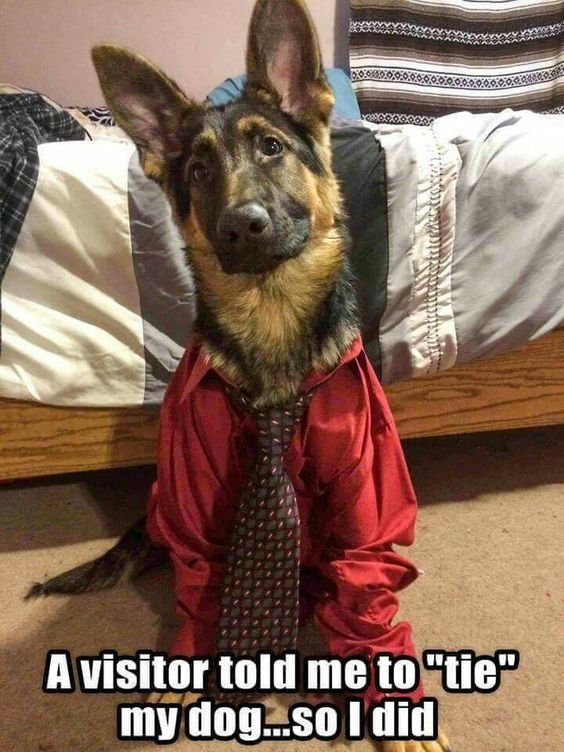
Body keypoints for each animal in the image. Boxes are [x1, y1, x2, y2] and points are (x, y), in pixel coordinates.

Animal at [29, 2, 450, 748]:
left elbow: (367, 596)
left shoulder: (366, 505)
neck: (270, 313)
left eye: (272, 149)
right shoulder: (196, 500)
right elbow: (201, 586)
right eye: (198, 168)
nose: (241, 226)